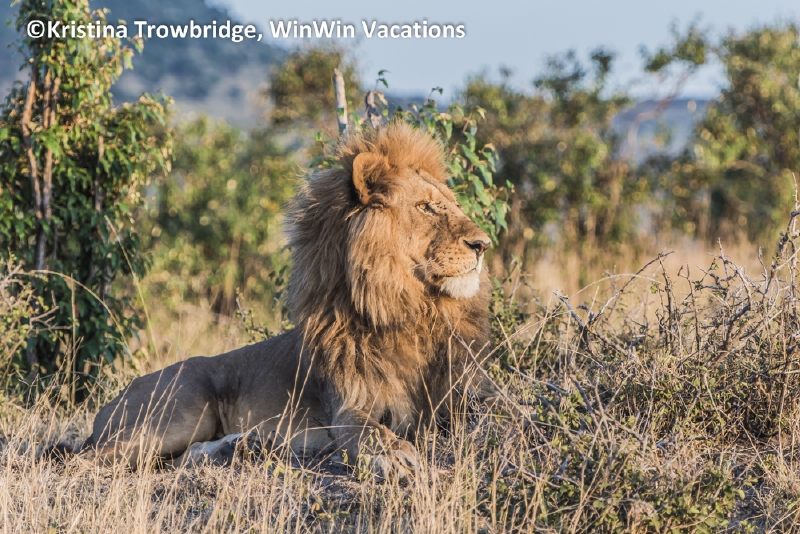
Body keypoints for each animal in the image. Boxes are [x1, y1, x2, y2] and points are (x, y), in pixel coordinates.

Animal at [70, 121, 509, 478]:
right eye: (425, 207)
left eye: (453, 204)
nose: (483, 244)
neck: (416, 310)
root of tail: (109, 405)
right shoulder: (348, 407)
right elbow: (370, 432)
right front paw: (395, 455)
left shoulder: (469, 386)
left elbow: (507, 406)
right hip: (180, 411)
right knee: (89, 458)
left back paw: (237, 445)